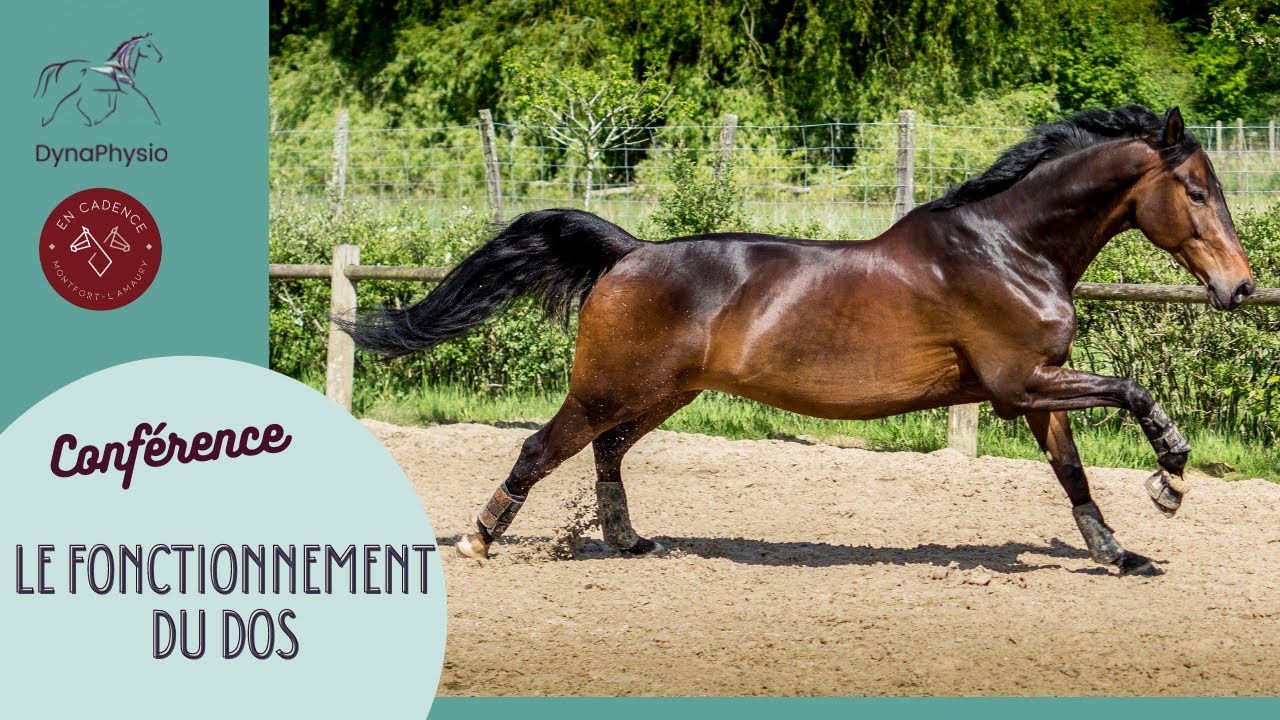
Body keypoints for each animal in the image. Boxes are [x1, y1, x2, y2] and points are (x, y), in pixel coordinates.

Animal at [35, 34, 163, 127]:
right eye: (149, 45)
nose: (160, 57)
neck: (120, 66)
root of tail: (62, 65)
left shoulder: (115, 92)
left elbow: (112, 109)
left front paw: (98, 121)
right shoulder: (127, 90)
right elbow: (145, 99)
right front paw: (157, 120)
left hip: (80, 91)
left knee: (76, 104)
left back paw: (89, 122)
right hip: (70, 90)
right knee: (58, 102)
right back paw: (46, 121)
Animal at [341, 105, 1254, 576]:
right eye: (1196, 190)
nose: (1240, 288)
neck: (1012, 246)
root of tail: (629, 251)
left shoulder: (1037, 387)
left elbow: (1071, 472)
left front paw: (1120, 552)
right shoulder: (1016, 383)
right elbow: (1132, 391)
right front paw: (1171, 478)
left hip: (663, 391)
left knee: (607, 451)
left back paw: (630, 541)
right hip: (609, 386)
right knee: (542, 447)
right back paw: (480, 537)